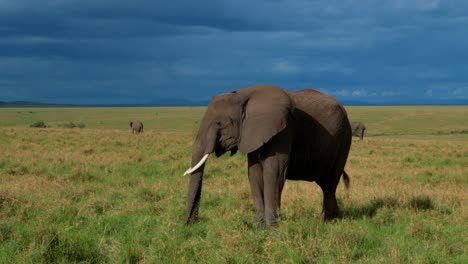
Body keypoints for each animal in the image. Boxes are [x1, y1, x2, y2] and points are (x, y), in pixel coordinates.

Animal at [183, 85, 352, 228]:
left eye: (219, 123)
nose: (190, 223)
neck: (244, 96)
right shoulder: (251, 135)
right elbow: (254, 173)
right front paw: (260, 227)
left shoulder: (283, 129)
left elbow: (274, 172)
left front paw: (272, 228)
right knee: (326, 185)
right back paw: (336, 218)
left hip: (344, 139)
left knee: (330, 183)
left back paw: (324, 221)